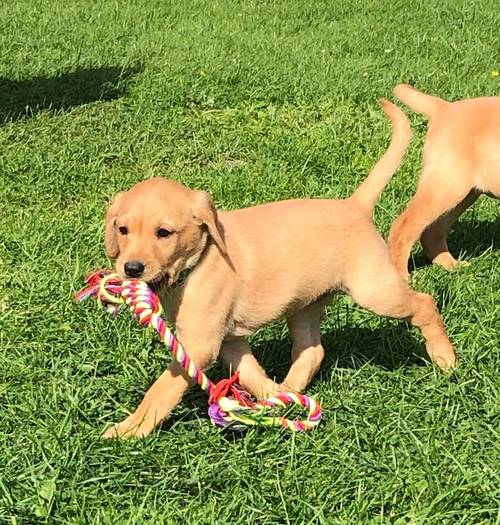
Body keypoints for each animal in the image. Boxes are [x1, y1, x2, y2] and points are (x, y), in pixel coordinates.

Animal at [102, 100, 458, 436]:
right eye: (123, 229)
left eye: (164, 233)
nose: (131, 268)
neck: (199, 262)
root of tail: (353, 206)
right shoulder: (229, 339)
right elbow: (249, 372)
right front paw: (271, 402)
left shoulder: (200, 346)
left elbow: (163, 389)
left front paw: (129, 429)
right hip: (303, 303)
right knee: (313, 350)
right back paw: (290, 389)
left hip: (375, 290)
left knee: (424, 303)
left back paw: (445, 359)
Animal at [388, 83, 500, 274]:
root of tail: (445, 108)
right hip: (447, 184)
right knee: (403, 226)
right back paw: (401, 276)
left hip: (462, 191)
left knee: (432, 232)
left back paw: (451, 266)